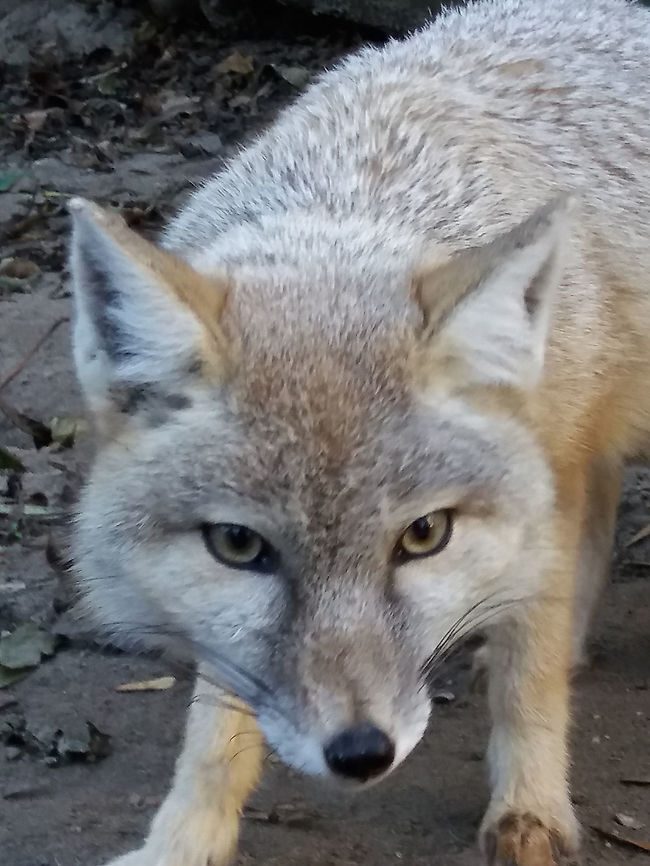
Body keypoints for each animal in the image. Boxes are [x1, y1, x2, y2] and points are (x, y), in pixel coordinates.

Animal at [67, 0, 650, 864]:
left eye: (424, 535)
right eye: (238, 546)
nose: (361, 752)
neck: (354, 200)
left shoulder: (550, 474)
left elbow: (529, 676)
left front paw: (530, 805)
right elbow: (217, 727)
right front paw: (184, 837)